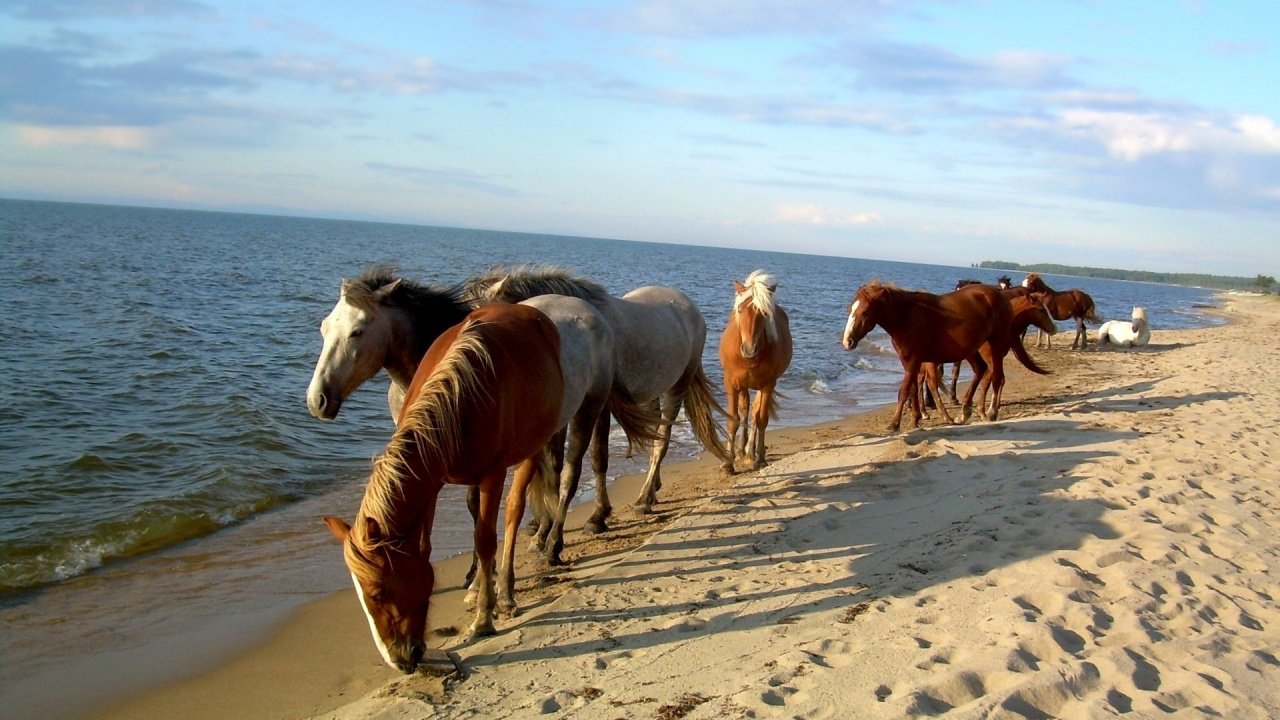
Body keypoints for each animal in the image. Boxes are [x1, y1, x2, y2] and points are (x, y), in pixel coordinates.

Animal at [322, 303, 564, 672]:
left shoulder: (492, 475)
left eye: (378, 592)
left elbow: (485, 540)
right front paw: (479, 595)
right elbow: (427, 547)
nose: (399, 660)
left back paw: (505, 593)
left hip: (531, 450)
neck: (458, 399)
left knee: (512, 512)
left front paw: (484, 620)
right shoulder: (431, 484)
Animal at [467, 265, 732, 515]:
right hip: (650, 394)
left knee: (661, 442)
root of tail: (692, 309)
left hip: (677, 388)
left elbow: (598, 458)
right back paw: (653, 490)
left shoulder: (598, 406)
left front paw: (597, 516)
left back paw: (644, 499)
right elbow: (556, 463)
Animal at [718, 271, 793, 473]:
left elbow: (761, 419)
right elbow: (733, 419)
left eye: (763, 313)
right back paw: (741, 450)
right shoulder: (731, 382)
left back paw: (751, 452)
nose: (749, 349)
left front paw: (759, 458)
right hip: (743, 385)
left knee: (754, 412)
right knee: (744, 410)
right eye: (740, 310)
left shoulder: (768, 385)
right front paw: (728, 462)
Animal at [842, 282, 1049, 431]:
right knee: (981, 370)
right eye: (850, 310)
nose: (847, 341)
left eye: (865, 312)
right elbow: (913, 389)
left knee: (996, 378)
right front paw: (915, 419)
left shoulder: (913, 360)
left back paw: (990, 412)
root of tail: (1001, 297)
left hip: (995, 346)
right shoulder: (909, 361)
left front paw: (895, 424)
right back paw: (965, 411)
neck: (907, 316)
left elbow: (904, 391)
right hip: (971, 350)